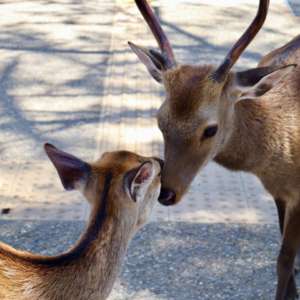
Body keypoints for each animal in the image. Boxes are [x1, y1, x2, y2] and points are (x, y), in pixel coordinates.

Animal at [130, 0, 300, 298]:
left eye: (210, 130)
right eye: (160, 120)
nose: (166, 193)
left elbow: (284, 261)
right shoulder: (280, 193)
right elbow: (286, 262)